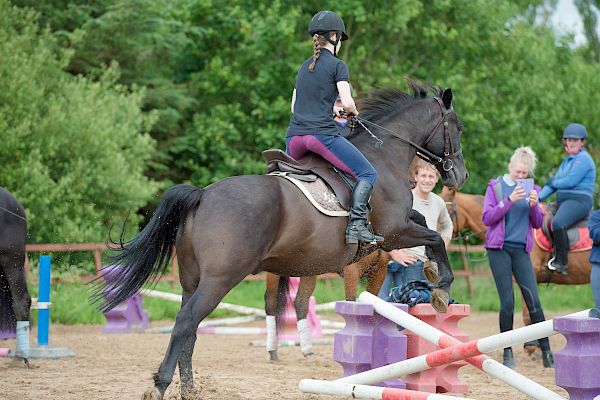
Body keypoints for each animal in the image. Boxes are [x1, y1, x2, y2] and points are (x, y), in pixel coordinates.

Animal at [94, 79, 468, 398]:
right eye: (458, 128)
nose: (460, 175)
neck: (385, 155)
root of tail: (202, 195)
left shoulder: (398, 229)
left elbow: (425, 223)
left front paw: (431, 273)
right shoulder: (392, 232)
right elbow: (435, 237)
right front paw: (441, 286)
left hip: (192, 279)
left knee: (190, 325)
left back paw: (189, 389)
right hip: (220, 280)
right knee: (187, 322)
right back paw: (161, 385)